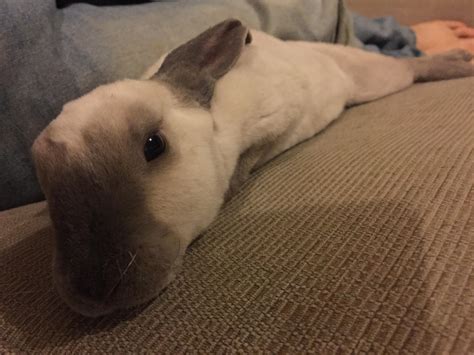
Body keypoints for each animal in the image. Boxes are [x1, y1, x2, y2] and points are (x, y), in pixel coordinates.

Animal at [31, 18, 472, 318]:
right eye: (48, 191)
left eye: (153, 146)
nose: (94, 291)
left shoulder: (273, 122)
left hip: (376, 78)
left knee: (411, 69)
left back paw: (460, 62)